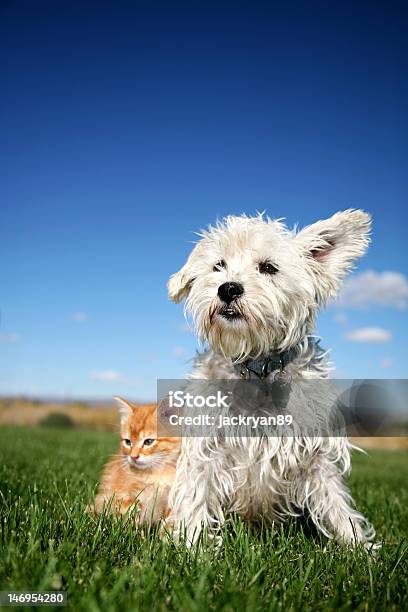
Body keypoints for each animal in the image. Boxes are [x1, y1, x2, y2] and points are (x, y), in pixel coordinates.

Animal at [167, 209, 376, 544]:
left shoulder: (315, 451)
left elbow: (334, 501)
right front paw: (193, 546)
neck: (258, 368)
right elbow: (197, 495)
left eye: (268, 267)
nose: (228, 288)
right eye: (218, 265)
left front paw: (356, 545)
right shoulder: (208, 447)